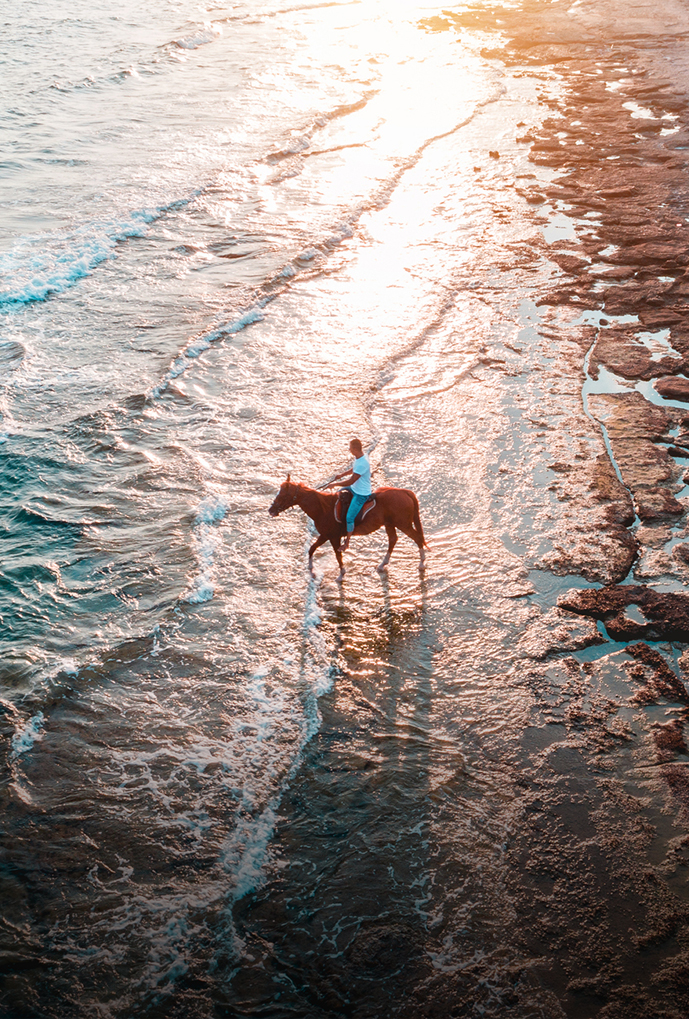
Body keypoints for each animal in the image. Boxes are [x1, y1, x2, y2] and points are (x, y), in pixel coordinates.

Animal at [268, 475, 427, 579]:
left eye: (282, 495)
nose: (271, 510)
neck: (323, 508)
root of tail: (405, 492)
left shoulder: (333, 537)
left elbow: (337, 555)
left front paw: (341, 574)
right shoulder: (325, 535)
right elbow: (312, 549)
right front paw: (311, 570)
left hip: (403, 524)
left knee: (417, 538)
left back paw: (421, 563)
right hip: (390, 524)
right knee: (393, 540)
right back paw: (383, 564)